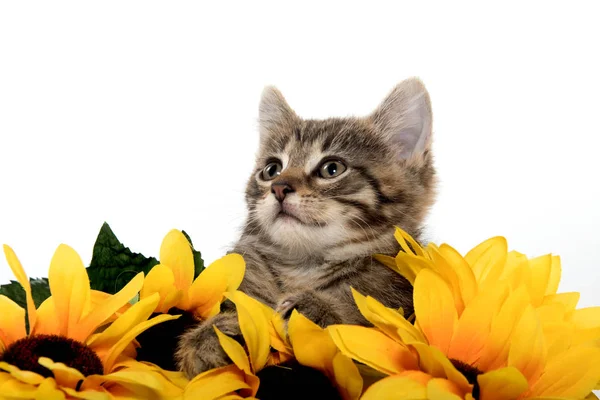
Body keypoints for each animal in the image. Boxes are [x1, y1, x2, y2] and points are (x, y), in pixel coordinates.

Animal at [177, 77, 436, 378]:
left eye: (332, 168)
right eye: (271, 170)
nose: (279, 187)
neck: (302, 268)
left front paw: (316, 310)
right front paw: (213, 335)